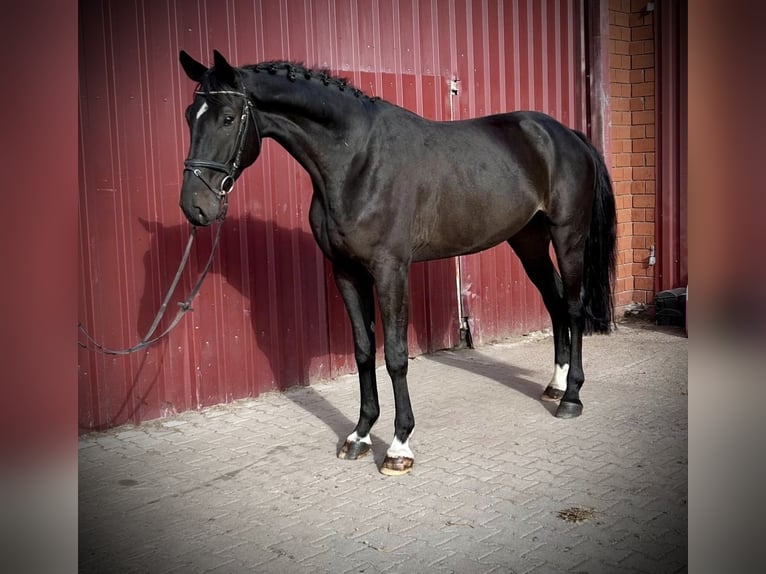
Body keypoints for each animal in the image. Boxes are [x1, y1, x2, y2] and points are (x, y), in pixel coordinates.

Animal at [178, 51, 616, 480]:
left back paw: (571, 397)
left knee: (573, 308)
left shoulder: (390, 271)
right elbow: (363, 350)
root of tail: (566, 135)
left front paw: (399, 447)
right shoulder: (346, 272)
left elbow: (395, 355)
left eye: (228, 117)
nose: (194, 206)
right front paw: (359, 435)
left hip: (568, 237)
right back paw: (555, 385)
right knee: (555, 302)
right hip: (528, 241)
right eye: (188, 116)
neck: (357, 161)